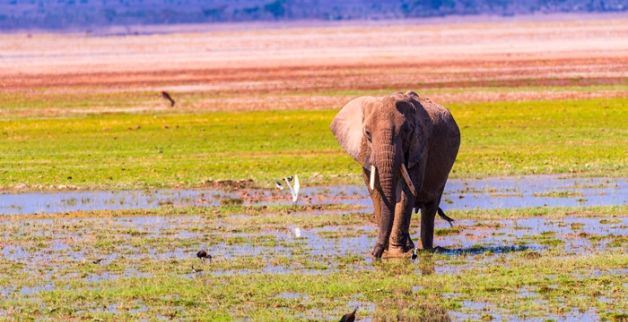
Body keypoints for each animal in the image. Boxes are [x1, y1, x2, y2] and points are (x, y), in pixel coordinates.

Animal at [328, 91, 462, 260]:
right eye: (367, 133)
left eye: (406, 131)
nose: (374, 254)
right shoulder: (365, 152)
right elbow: (376, 193)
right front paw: (388, 252)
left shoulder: (419, 147)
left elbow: (406, 194)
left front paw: (397, 253)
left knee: (430, 207)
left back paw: (426, 249)